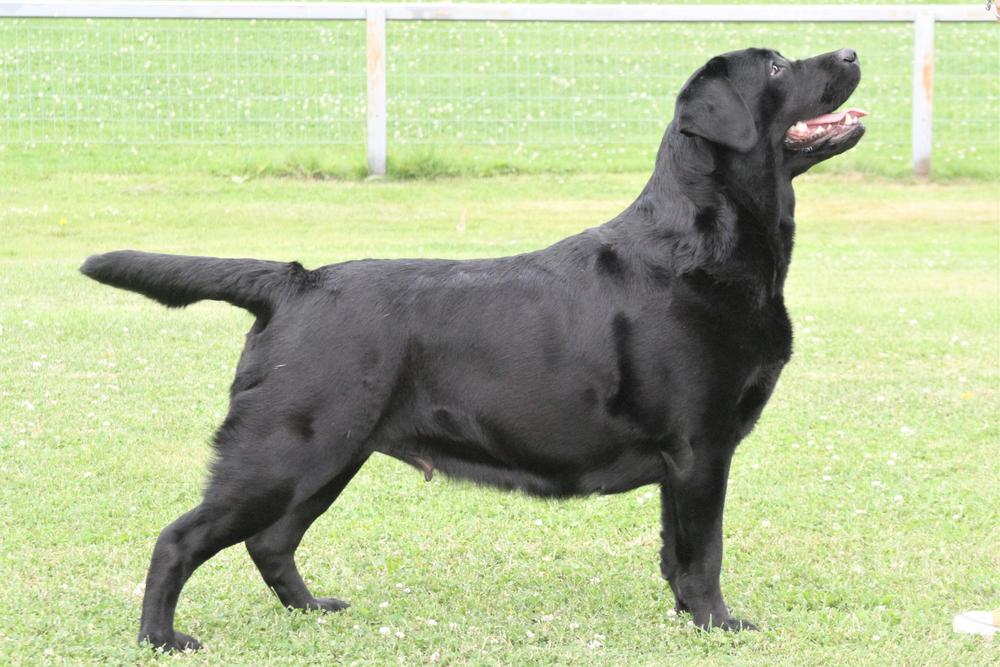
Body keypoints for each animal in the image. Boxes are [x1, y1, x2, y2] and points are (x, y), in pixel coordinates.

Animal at [81, 47, 865, 652]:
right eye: (775, 65)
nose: (853, 53)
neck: (705, 243)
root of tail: (295, 280)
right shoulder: (700, 446)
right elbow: (705, 553)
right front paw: (719, 624)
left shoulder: (685, 459)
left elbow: (676, 552)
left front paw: (686, 619)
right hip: (282, 451)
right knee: (179, 539)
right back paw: (161, 638)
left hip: (330, 454)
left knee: (270, 542)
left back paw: (313, 609)